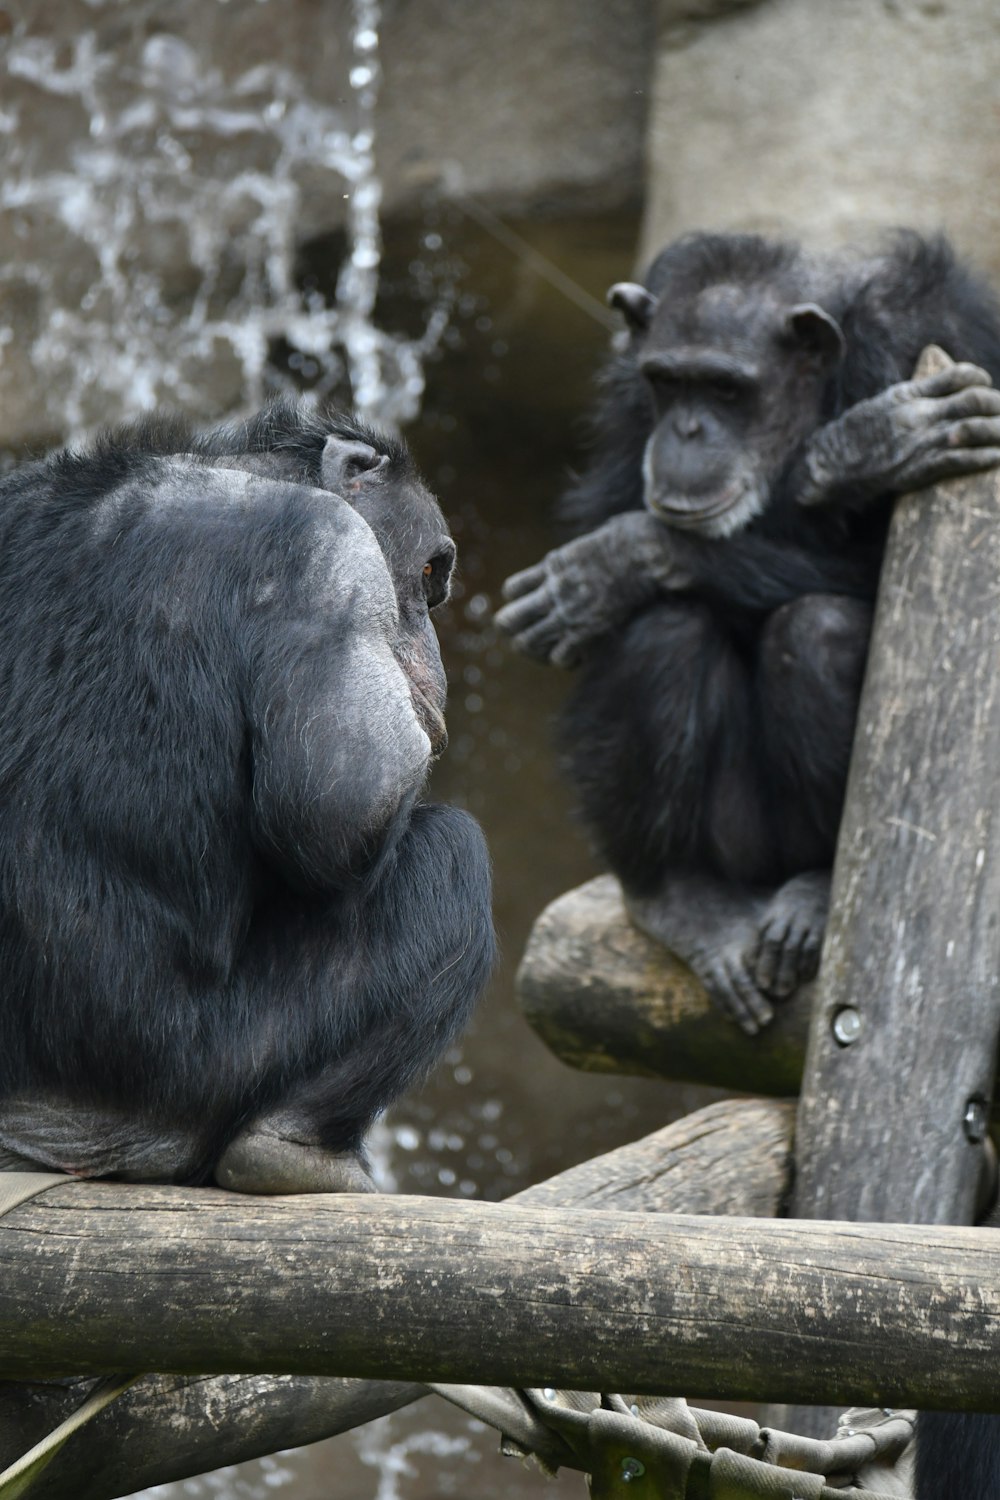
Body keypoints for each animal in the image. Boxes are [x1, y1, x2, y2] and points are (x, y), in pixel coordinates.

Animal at [0, 399, 497, 1194]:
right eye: (427, 572)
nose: (433, 651)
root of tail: (44, 1129)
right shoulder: (333, 552)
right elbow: (342, 803)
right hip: (190, 1078)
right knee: (451, 860)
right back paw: (297, 1153)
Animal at [497, 228, 1000, 1500]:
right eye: (671, 384)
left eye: (726, 393)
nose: (687, 433)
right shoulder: (617, 398)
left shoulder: (946, 336)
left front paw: (845, 456)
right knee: (665, 633)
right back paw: (682, 901)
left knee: (814, 629)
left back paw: (814, 896)